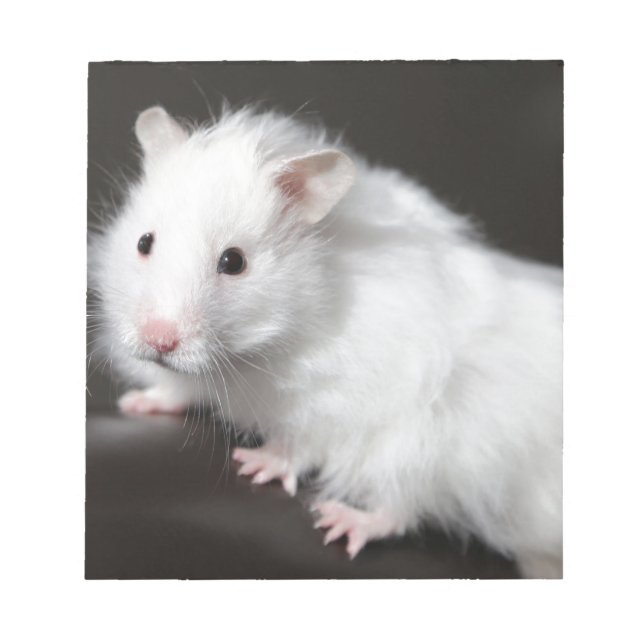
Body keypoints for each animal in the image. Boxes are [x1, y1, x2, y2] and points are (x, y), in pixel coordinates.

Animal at [89, 104, 563, 579]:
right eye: (144, 242)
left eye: (234, 261)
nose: (158, 340)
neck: (251, 356)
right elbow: (177, 389)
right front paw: (136, 402)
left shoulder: (340, 404)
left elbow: (301, 444)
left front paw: (256, 463)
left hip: (426, 448)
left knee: (399, 509)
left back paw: (340, 523)